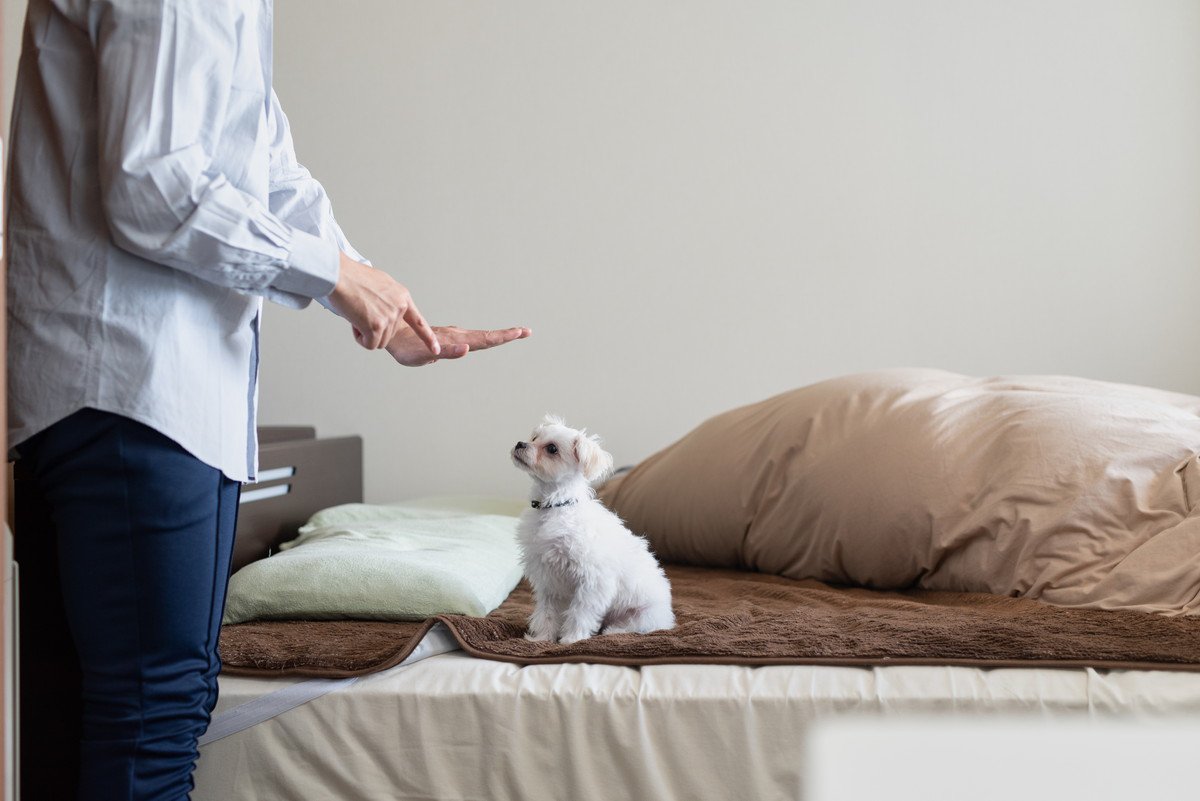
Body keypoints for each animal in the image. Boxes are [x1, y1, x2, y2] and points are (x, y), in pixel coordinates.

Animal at [508, 417, 676, 642]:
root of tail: (667, 617)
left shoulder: (593, 581)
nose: (520, 443)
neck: (555, 507)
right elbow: (547, 613)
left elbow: (580, 613)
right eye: (534, 437)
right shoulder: (548, 582)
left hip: (643, 615)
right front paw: (542, 639)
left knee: (635, 627)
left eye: (552, 449)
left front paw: (571, 640)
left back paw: (614, 631)